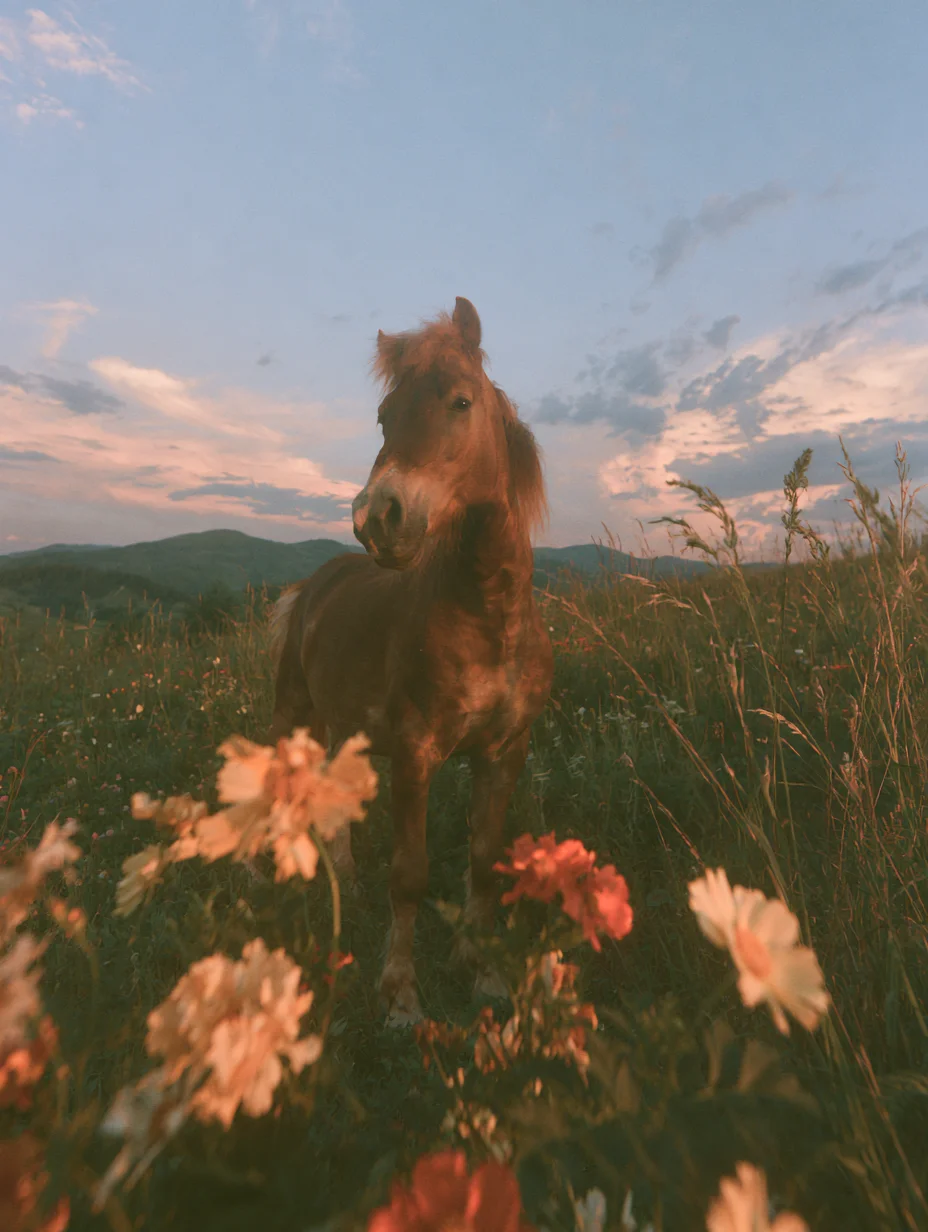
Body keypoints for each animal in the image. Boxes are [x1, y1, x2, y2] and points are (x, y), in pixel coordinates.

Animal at [268, 297, 553, 1026]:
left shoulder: (505, 751)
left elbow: (483, 862)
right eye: (383, 415)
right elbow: (410, 874)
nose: (377, 518)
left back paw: (343, 875)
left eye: (460, 401)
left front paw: (482, 971)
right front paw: (400, 995)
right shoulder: (415, 753)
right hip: (295, 714)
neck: (488, 618)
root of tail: (313, 584)